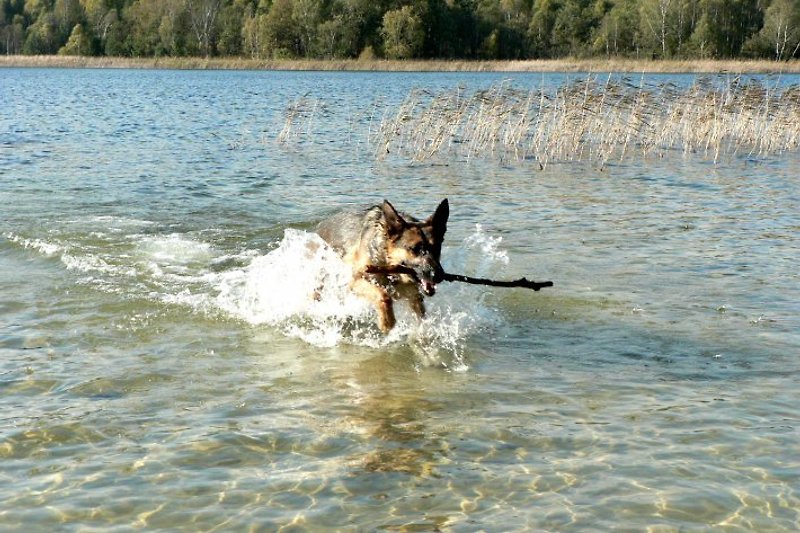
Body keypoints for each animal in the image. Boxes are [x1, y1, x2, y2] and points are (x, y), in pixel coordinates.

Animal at [314, 200, 450, 332]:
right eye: (414, 249)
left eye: (437, 248)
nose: (438, 276)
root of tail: (320, 226)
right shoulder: (356, 280)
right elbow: (384, 295)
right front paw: (387, 322)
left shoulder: (414, 297)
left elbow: (420, 317)